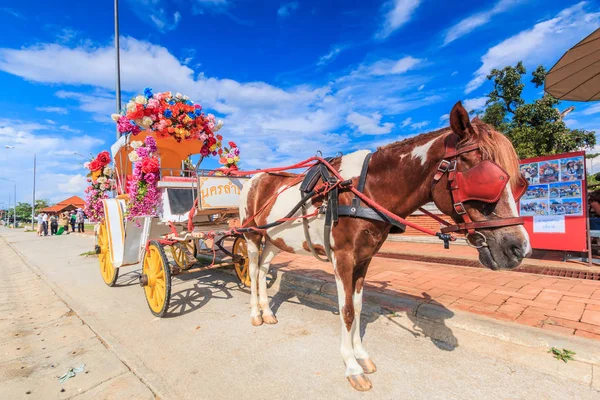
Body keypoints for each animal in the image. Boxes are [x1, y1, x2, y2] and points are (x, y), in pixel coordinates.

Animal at [237, 101, 532, 392]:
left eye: (520, 183)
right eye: (486, 179)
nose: (519, 248)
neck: (362, 191)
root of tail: (255, 178)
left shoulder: (364, 258)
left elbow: (358, 307)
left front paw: (361, 355)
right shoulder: (343, 258)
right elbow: (346, 311)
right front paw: (352, 367)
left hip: (274, 239)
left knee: (262, 271)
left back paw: (267, 312)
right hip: (251, 235)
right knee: (251, 270)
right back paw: (254, 314)